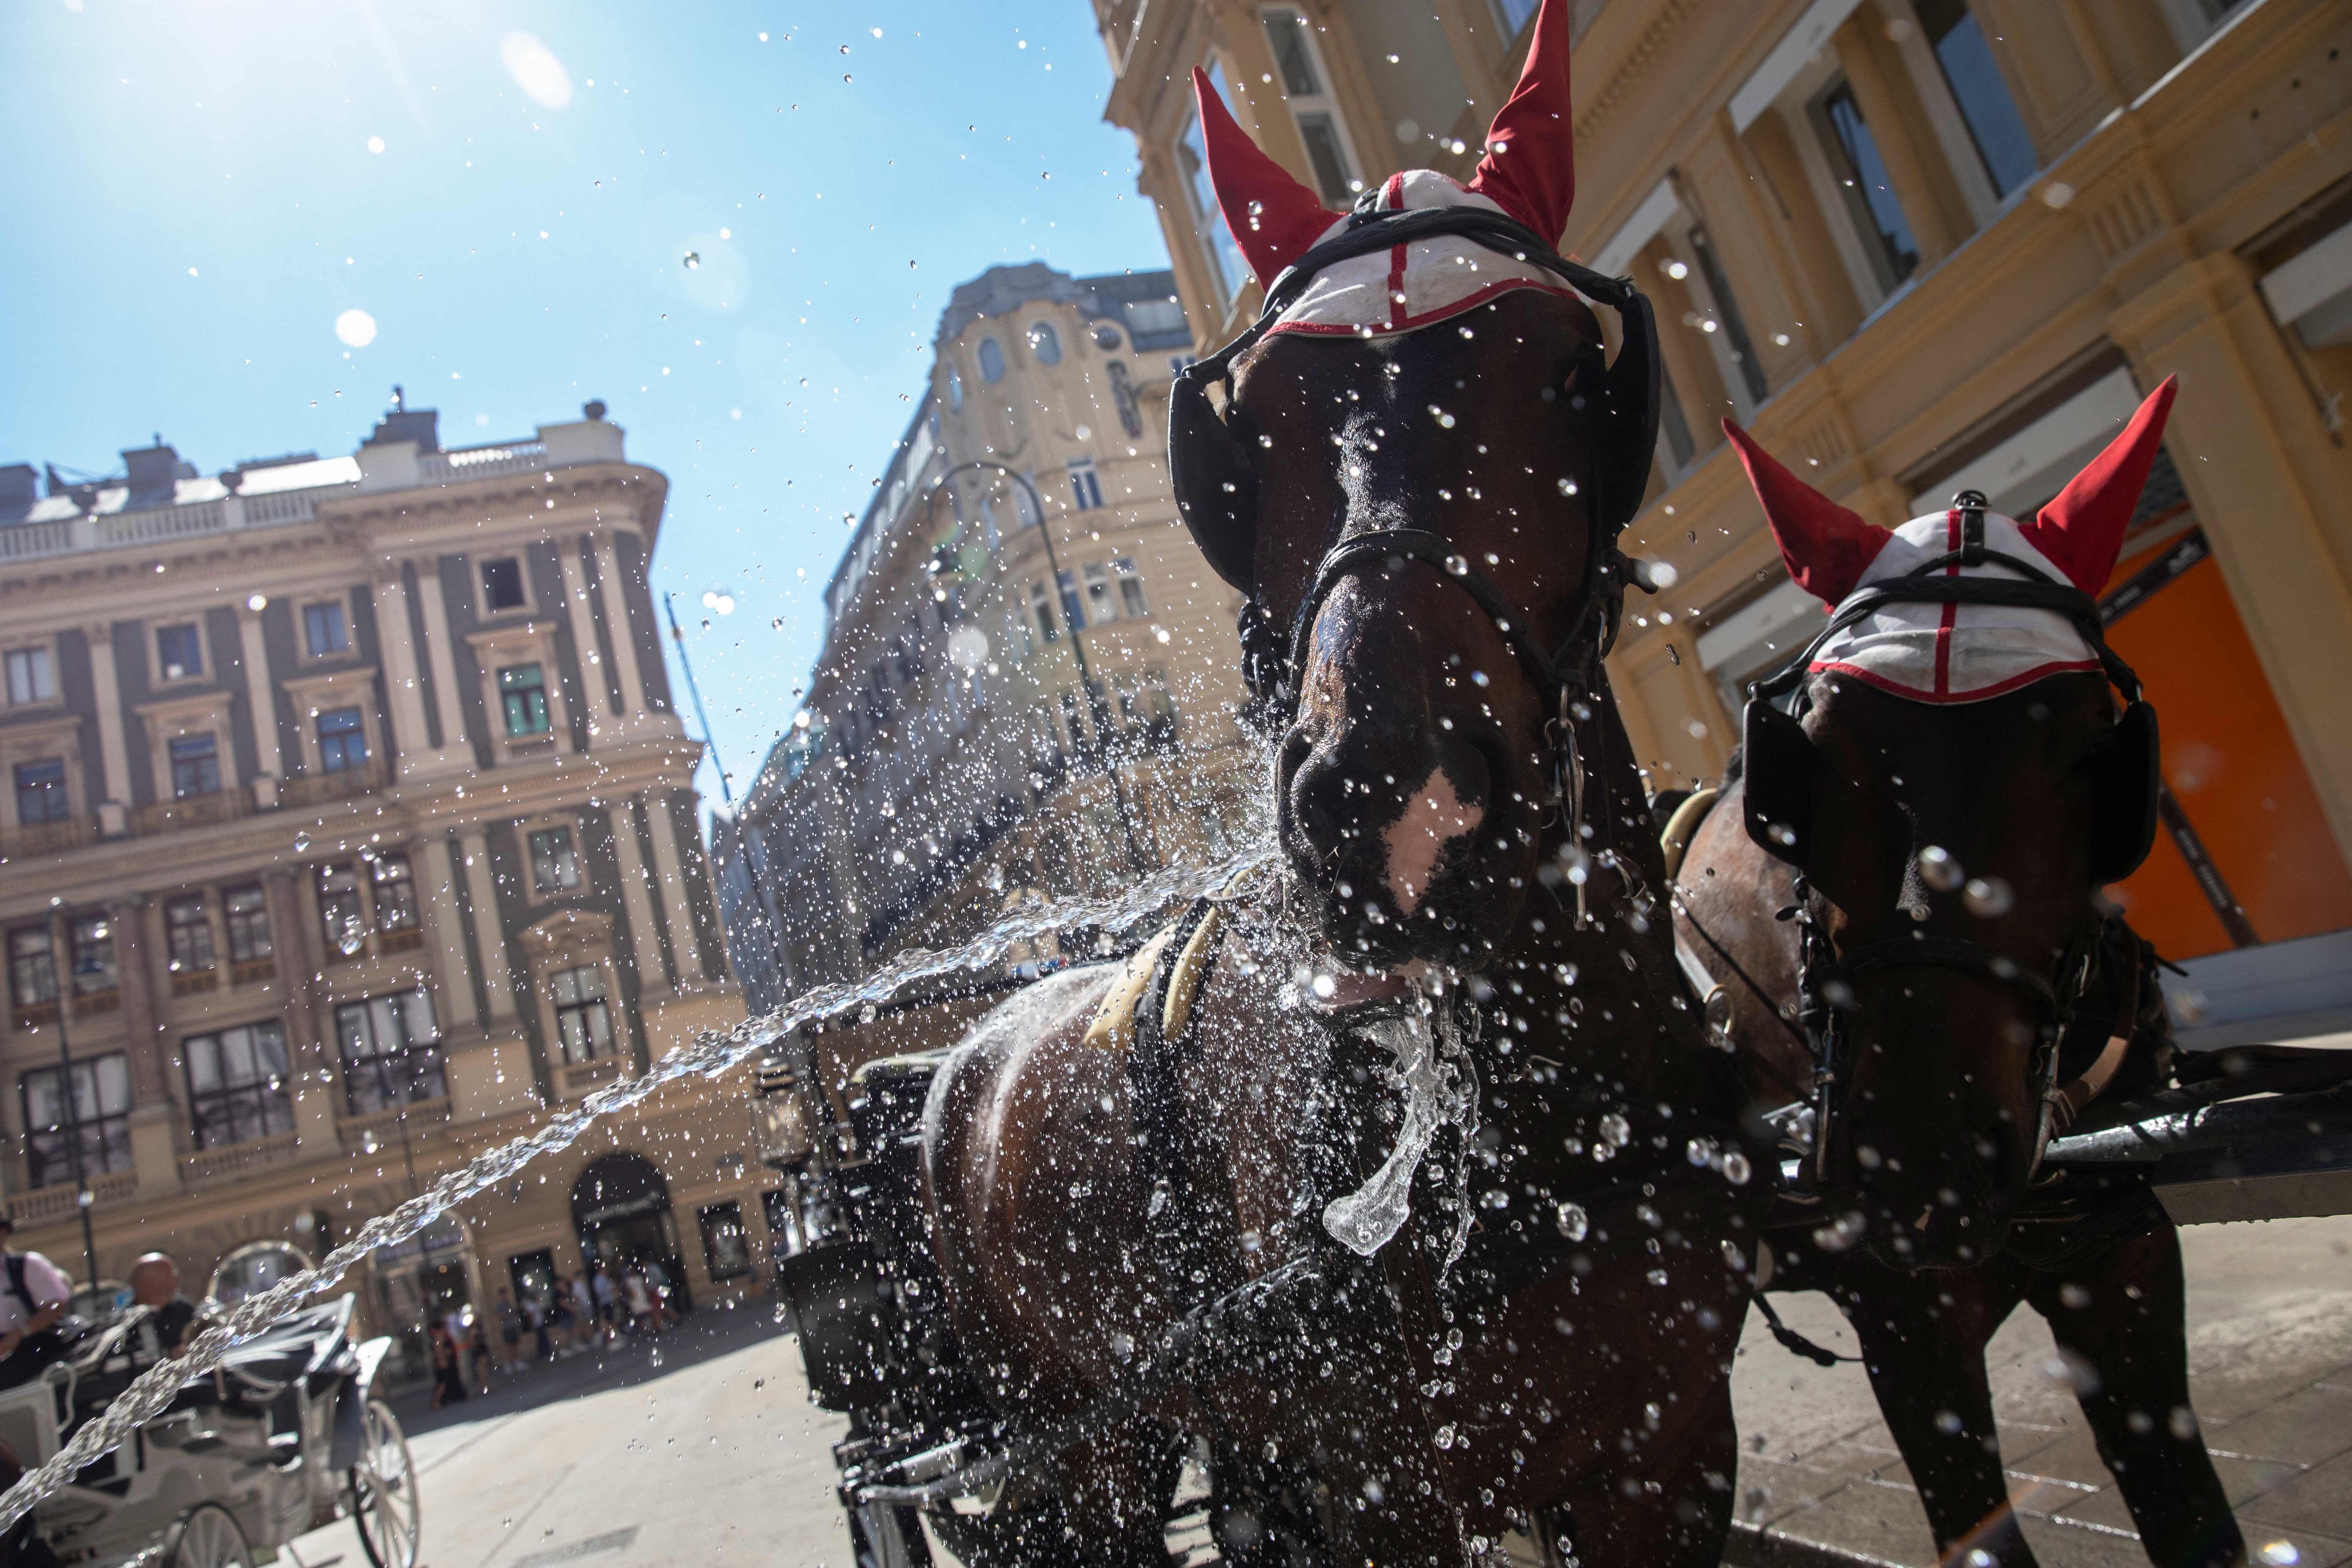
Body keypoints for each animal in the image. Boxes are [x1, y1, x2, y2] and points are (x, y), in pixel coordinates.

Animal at [917, 6, 1769, 1561]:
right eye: (1244, 437)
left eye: (1574, 375)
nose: (1401, 802)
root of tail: (972, 1049)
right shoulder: (1383, 1489)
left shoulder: (1670, 1448)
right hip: (1078, 1438)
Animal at [1675, 383, 2258, 1568]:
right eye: (1809, 750)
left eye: (2093, 748)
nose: (1920, 1155)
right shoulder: (1905, 1314)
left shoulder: (2118, 1247)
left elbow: (2192, 1519)